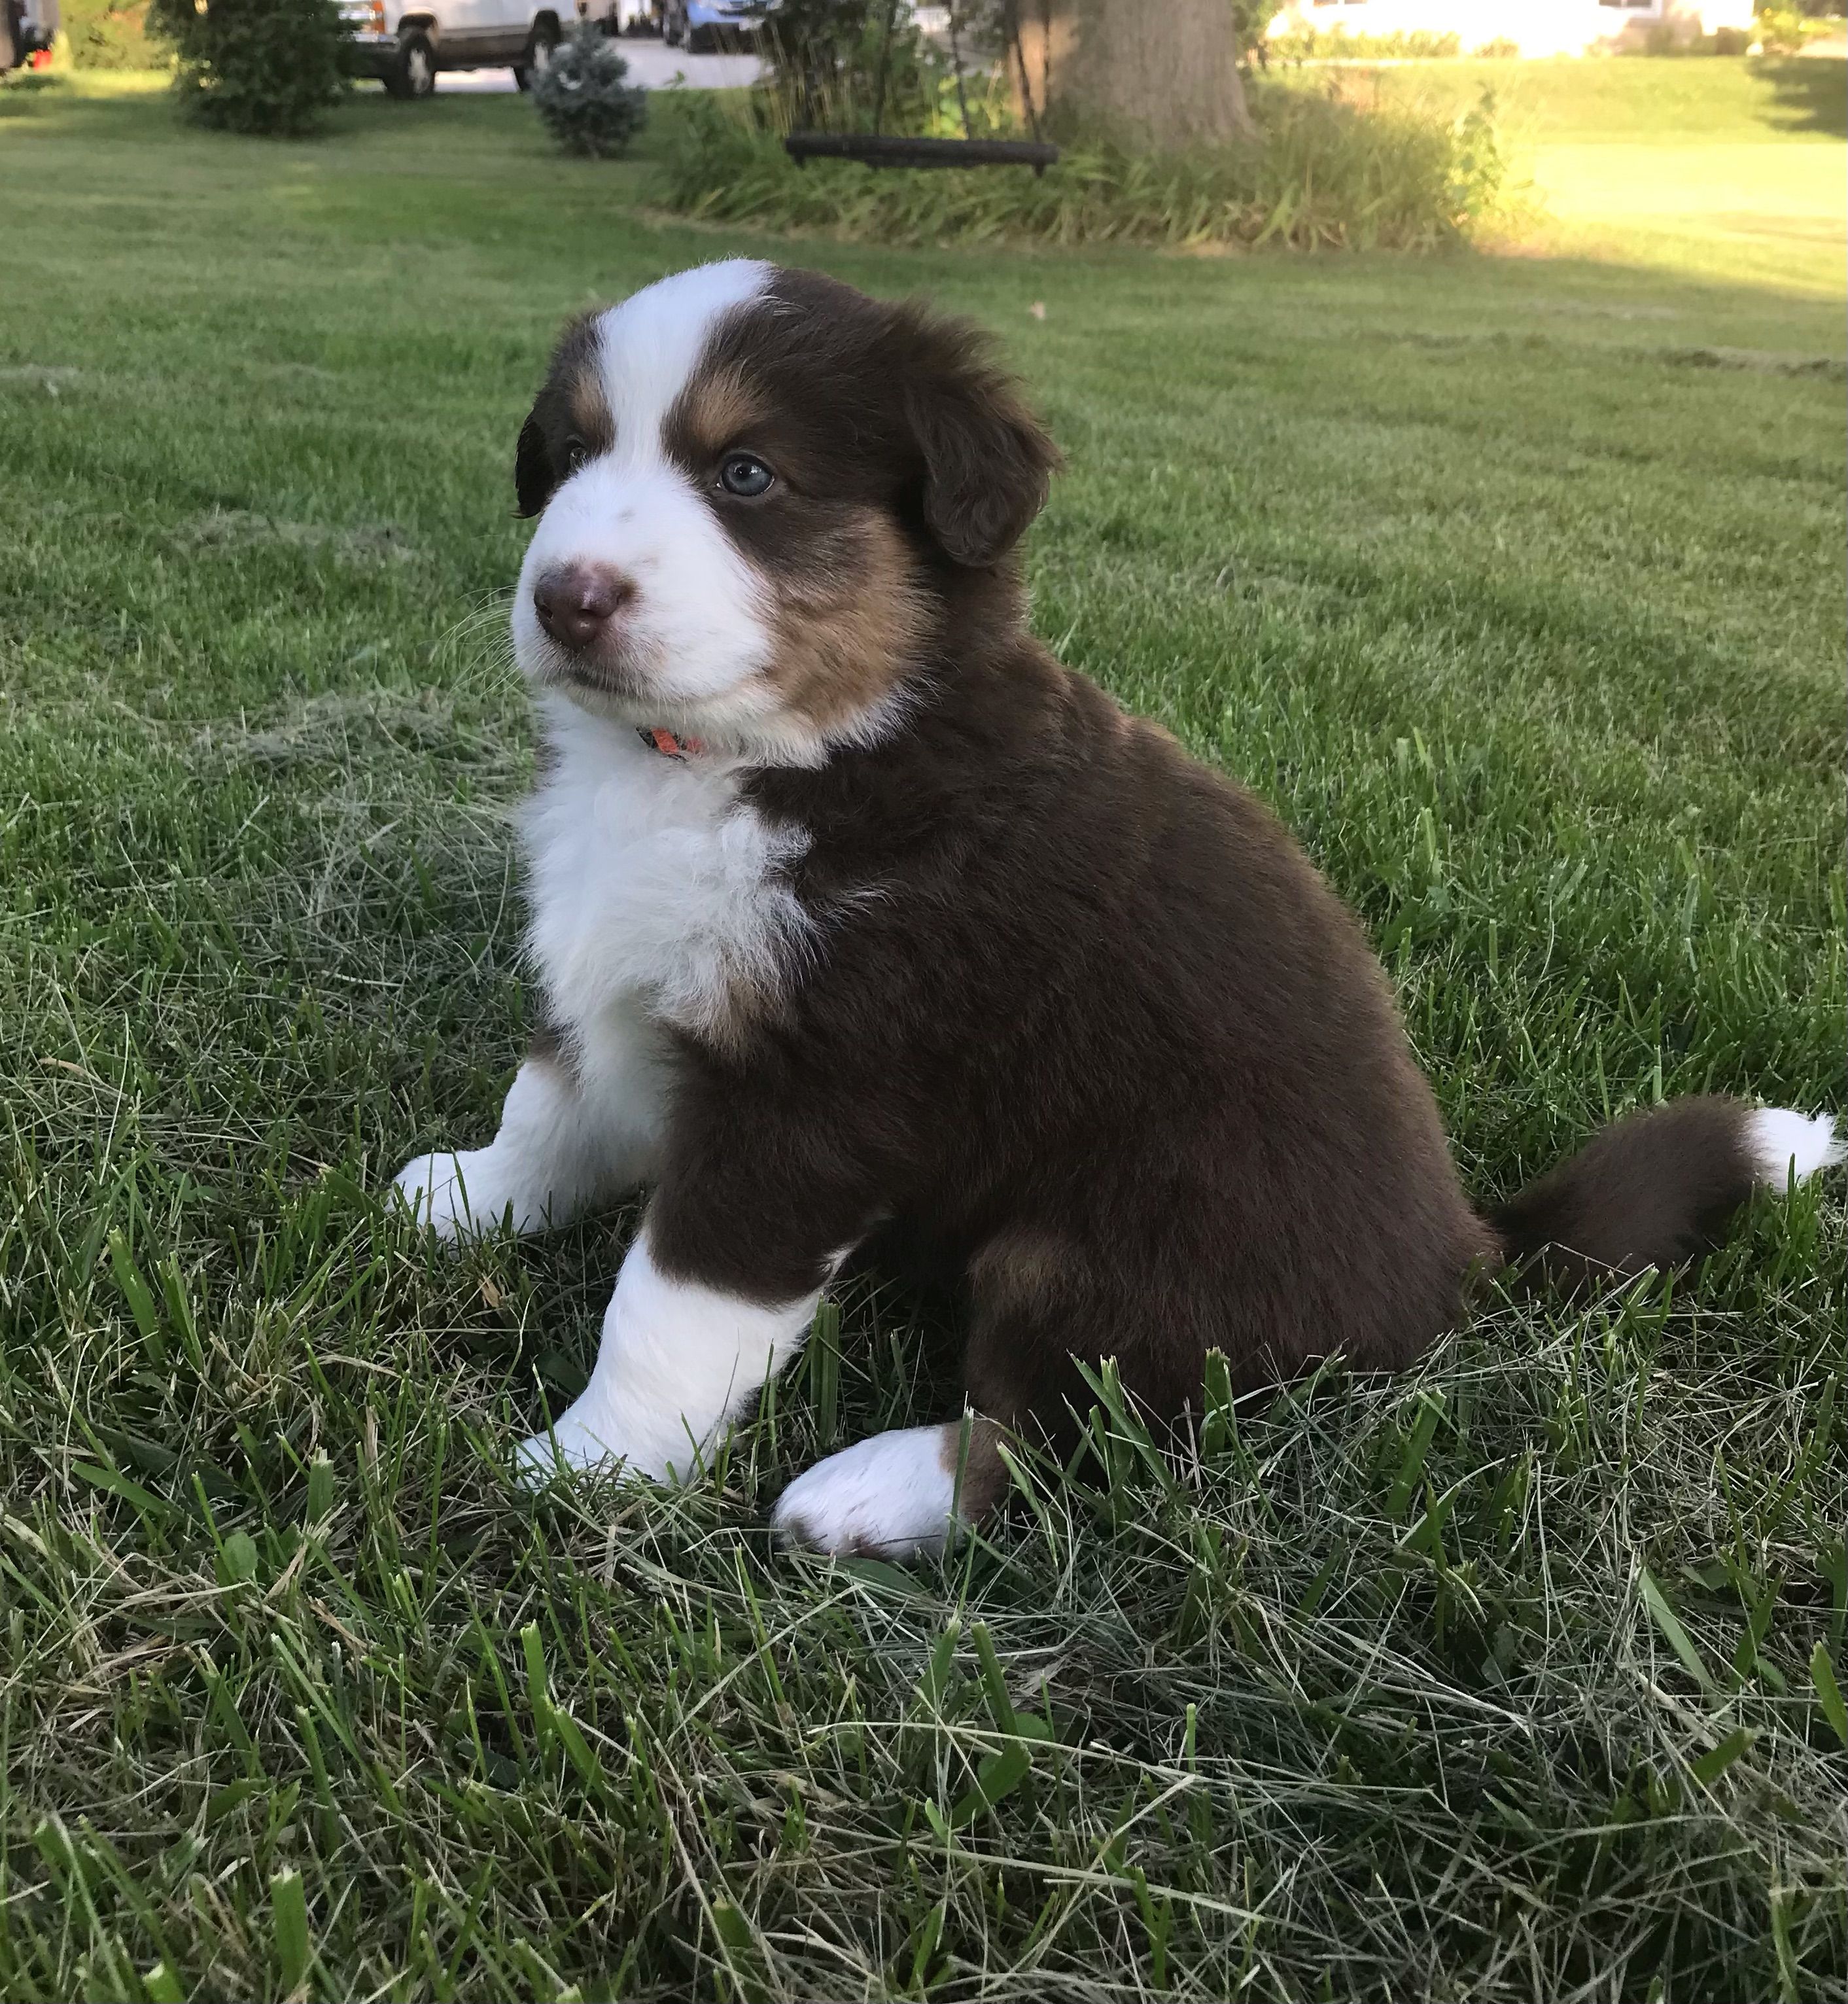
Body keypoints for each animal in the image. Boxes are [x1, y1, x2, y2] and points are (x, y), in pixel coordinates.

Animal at [389, 260, 1841, 1558]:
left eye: (747, 475)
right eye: (574, 451)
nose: (566, 596)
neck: (762, 758)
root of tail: (1463, 1258)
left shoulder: (815, 1091)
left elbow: (670, 1304)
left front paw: (592, 1465)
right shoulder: (611, 966)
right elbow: (550, 1099)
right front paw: (467, 1196)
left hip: (1112, 1248)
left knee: (1062, 1433)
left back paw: (866, 1493)